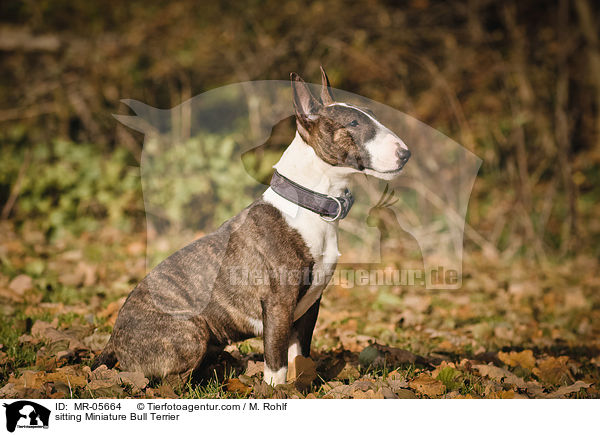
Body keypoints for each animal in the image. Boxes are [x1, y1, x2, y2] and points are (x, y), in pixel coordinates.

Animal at [92, 66, 412, 386]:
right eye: (354, 123)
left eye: (371, 114)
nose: (406, 153)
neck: (310, 205)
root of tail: (112, 340)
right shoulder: (278, 304)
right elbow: (276, 362)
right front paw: (274, 390)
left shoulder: (310, 307)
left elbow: (299, 357)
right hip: (191, 332)